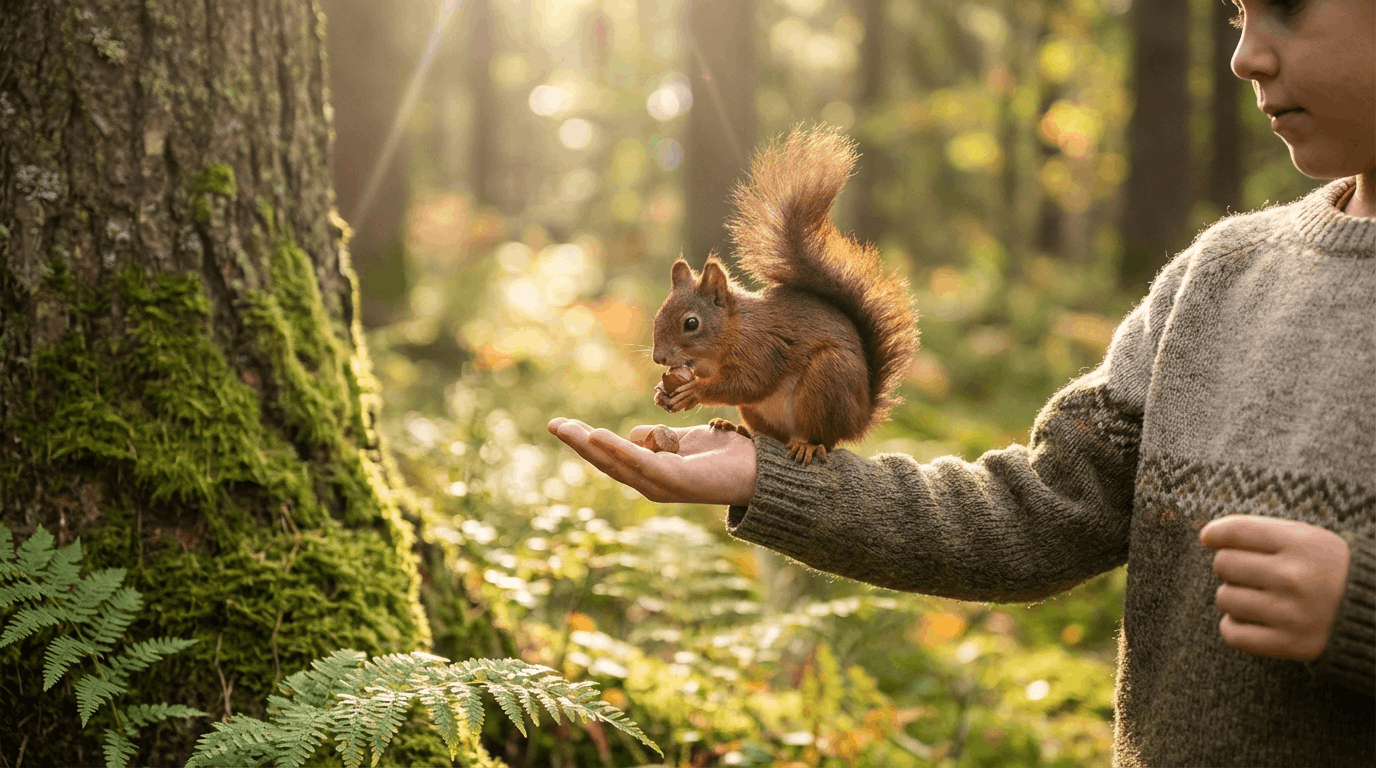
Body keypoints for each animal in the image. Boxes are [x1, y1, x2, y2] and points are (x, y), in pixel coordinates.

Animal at [650, 125, 919, 464]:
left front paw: (694, 392)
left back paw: (807, 445)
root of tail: (859, 419)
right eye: (657, 316)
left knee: (822, 438)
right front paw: (662, 393)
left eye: (691, 323)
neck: (733, 332)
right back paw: (736, 428)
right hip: (761, 411)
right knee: (771, 434)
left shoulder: (763, 350)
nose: (658, 358)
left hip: (827, 381)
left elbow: (749, 384)